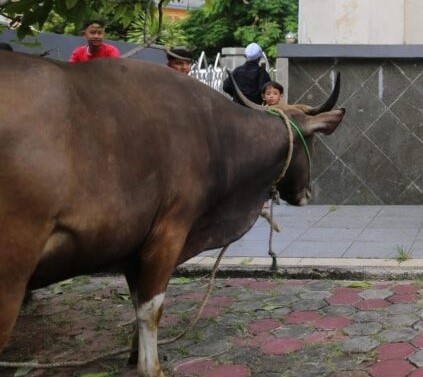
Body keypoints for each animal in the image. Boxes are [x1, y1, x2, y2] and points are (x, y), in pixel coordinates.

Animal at [0, 50, 344, 376]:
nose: (307, 193)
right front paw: (151, 366)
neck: (219, 137)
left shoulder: (135, 251)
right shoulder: (169, 233)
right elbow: (151, 309)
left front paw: (133, 353)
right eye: (313, 141)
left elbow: (137, 303)